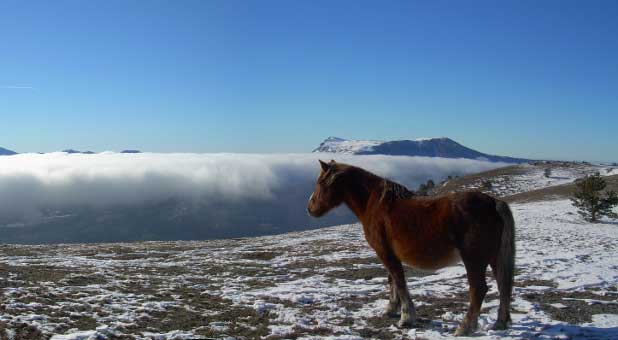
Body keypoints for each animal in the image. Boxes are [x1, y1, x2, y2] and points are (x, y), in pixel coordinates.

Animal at [306, 161, 512, 336]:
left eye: (321, 182)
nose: (309, 209)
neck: (376, 205)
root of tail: (492, 202)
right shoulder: (389, 254)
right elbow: (392, 280)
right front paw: (391, 309)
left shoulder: (385, 252)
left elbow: (399, 281)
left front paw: (406, 317)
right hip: (494, 258)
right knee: (503, 284)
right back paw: (500, 323)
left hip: (473, 260)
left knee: (479, 289)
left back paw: (465, 327)